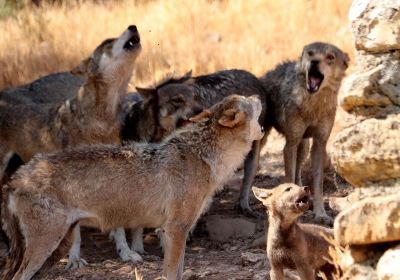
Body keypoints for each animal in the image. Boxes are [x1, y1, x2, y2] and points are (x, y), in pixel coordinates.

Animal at [1, 94, 264, 280]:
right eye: (248, 100)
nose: (258, 95)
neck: (204, 156)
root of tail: (17, 178)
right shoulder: (175, 230)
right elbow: (172, 273)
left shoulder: (173, 231)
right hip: (45, 246)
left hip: (57, 249)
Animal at [260, 42, 350, 225]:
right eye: (310, 53)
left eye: (330, 57)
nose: (314, 62)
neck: (314, 105)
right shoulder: (291, 143)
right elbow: (288, 177)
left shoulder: (319, 143)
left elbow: (318, 184)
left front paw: (320, 213)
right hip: (264, 139)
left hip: (304, 146)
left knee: (298, 172)